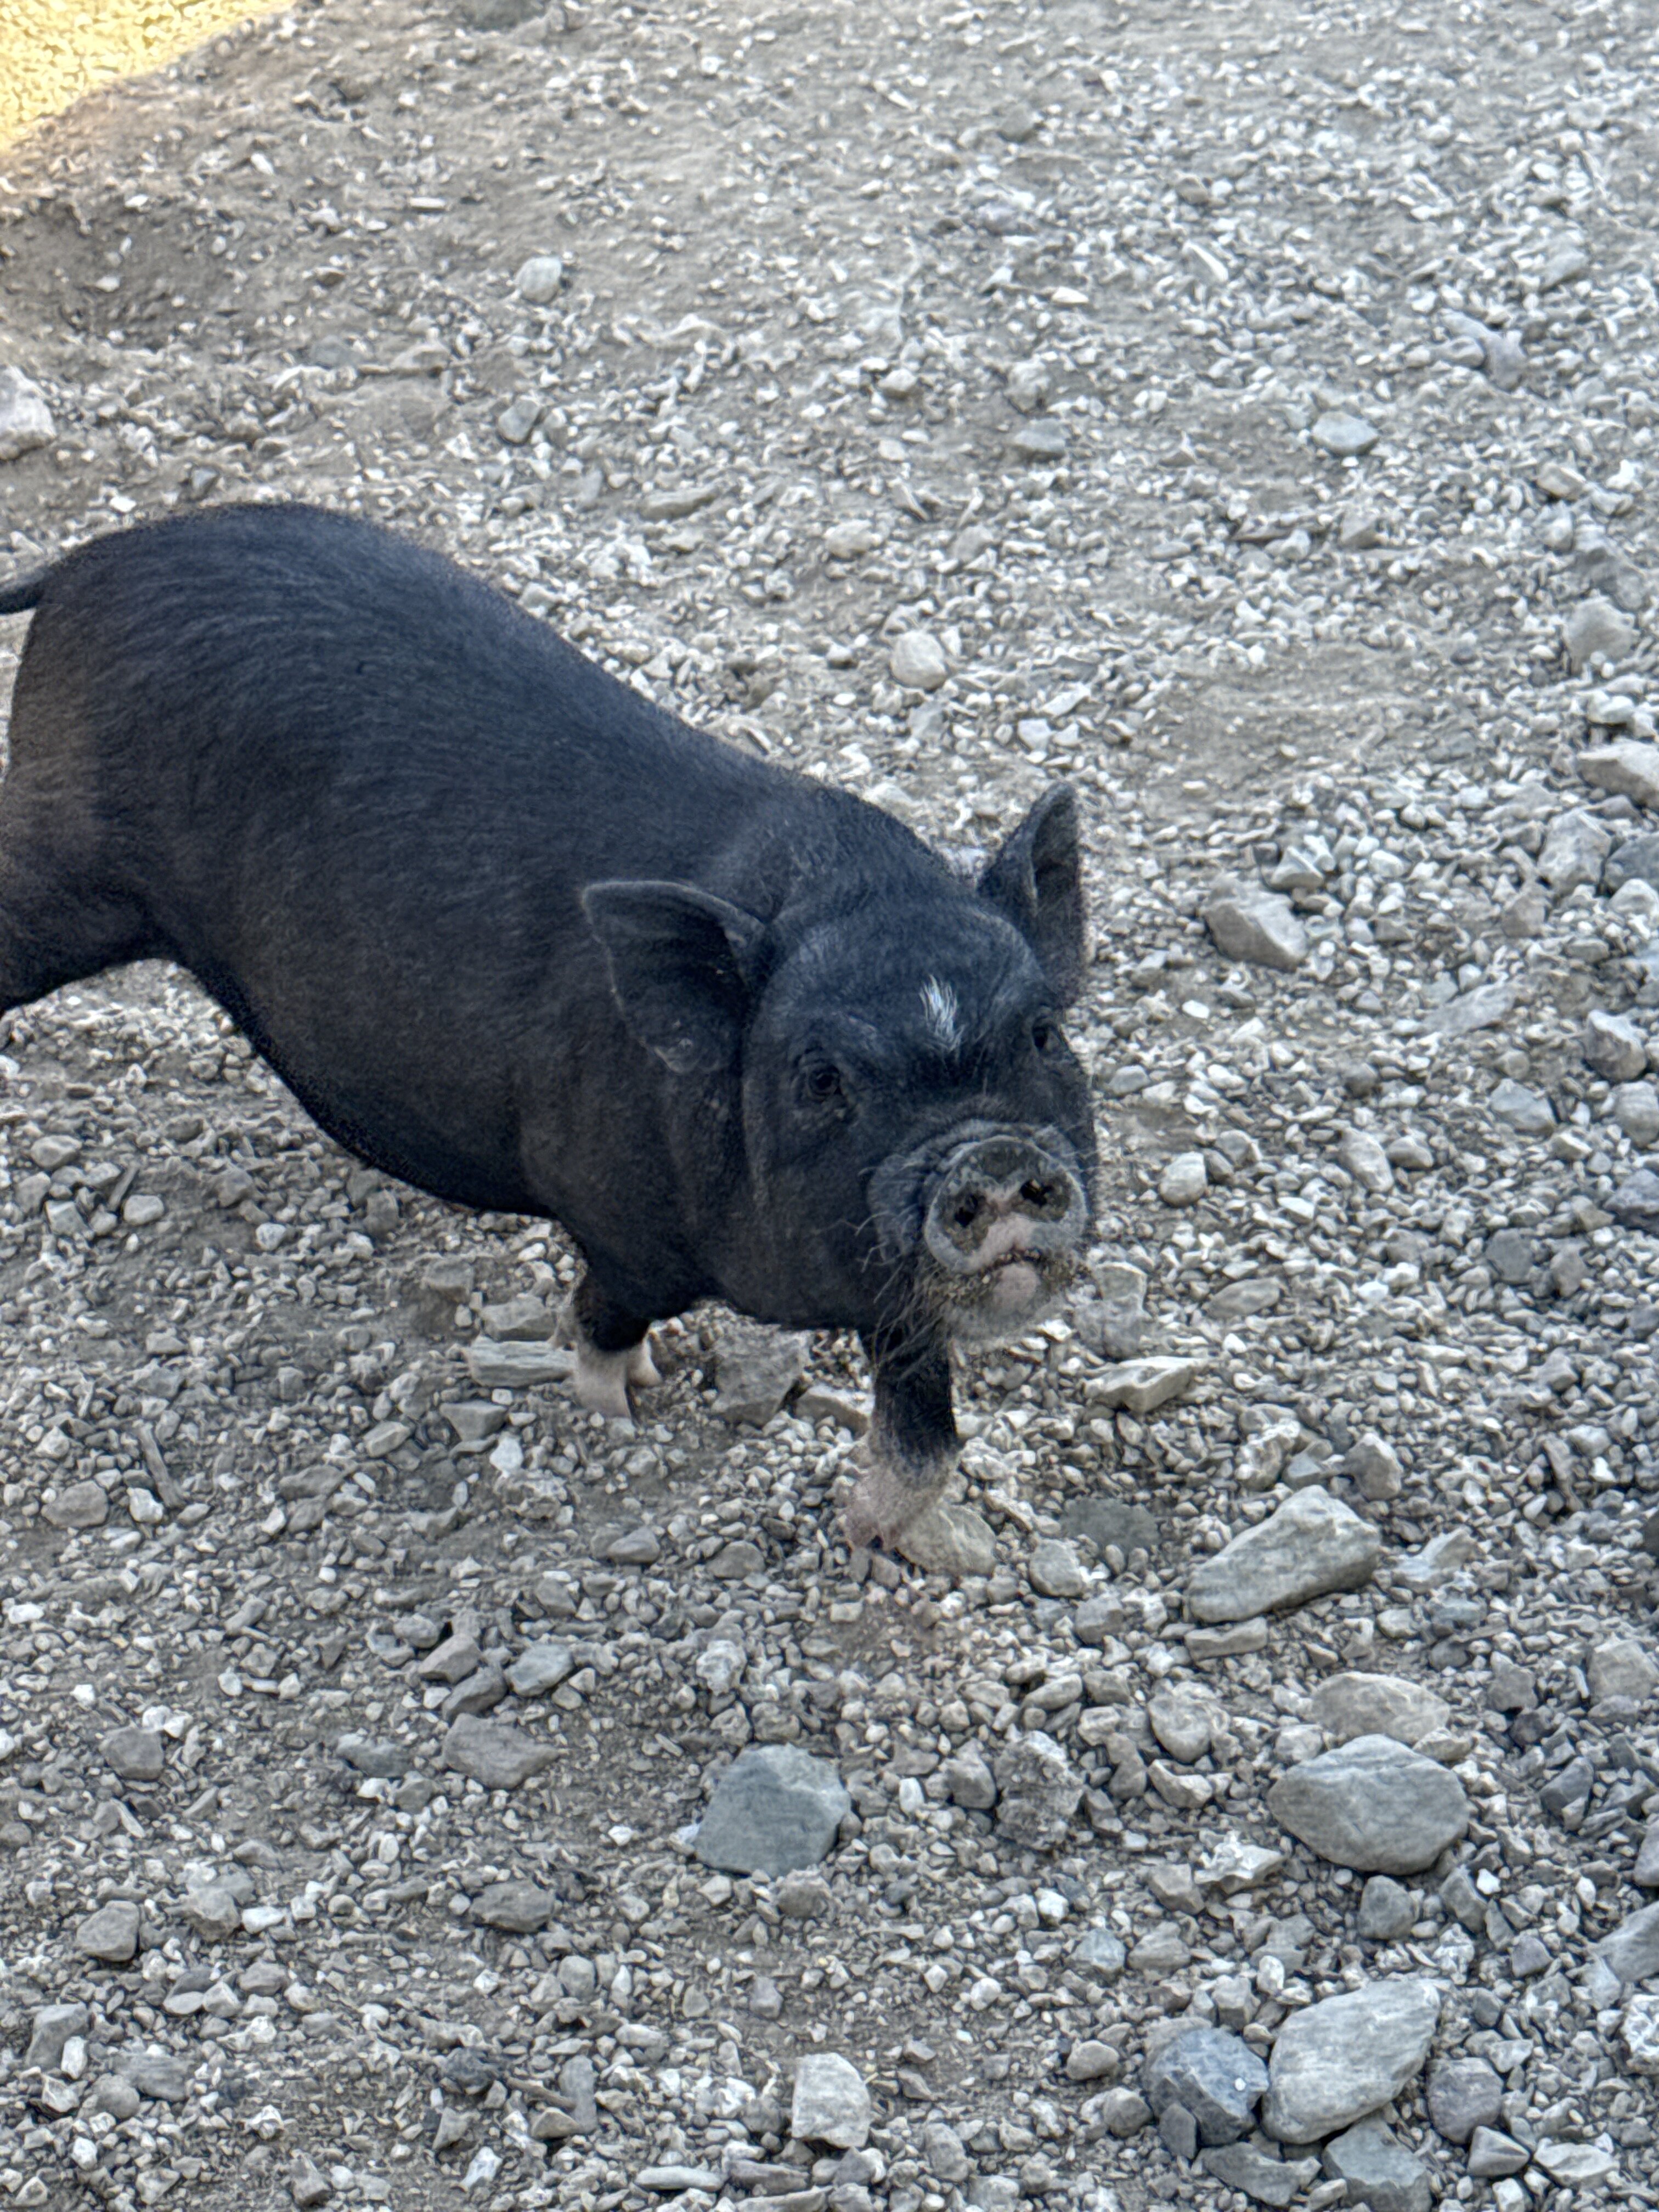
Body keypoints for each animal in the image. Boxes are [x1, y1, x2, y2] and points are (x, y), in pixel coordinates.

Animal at [0, 503, 1096, 1552]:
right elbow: (606, 1318)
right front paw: (626, 1401)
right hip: (64, 874)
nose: (992, 1154)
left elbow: (927, 1434)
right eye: (822, 1078)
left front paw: (863, 1535)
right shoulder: (613, 1217)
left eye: (1043, 1032)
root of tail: (87, 562)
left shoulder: (888, 1294)